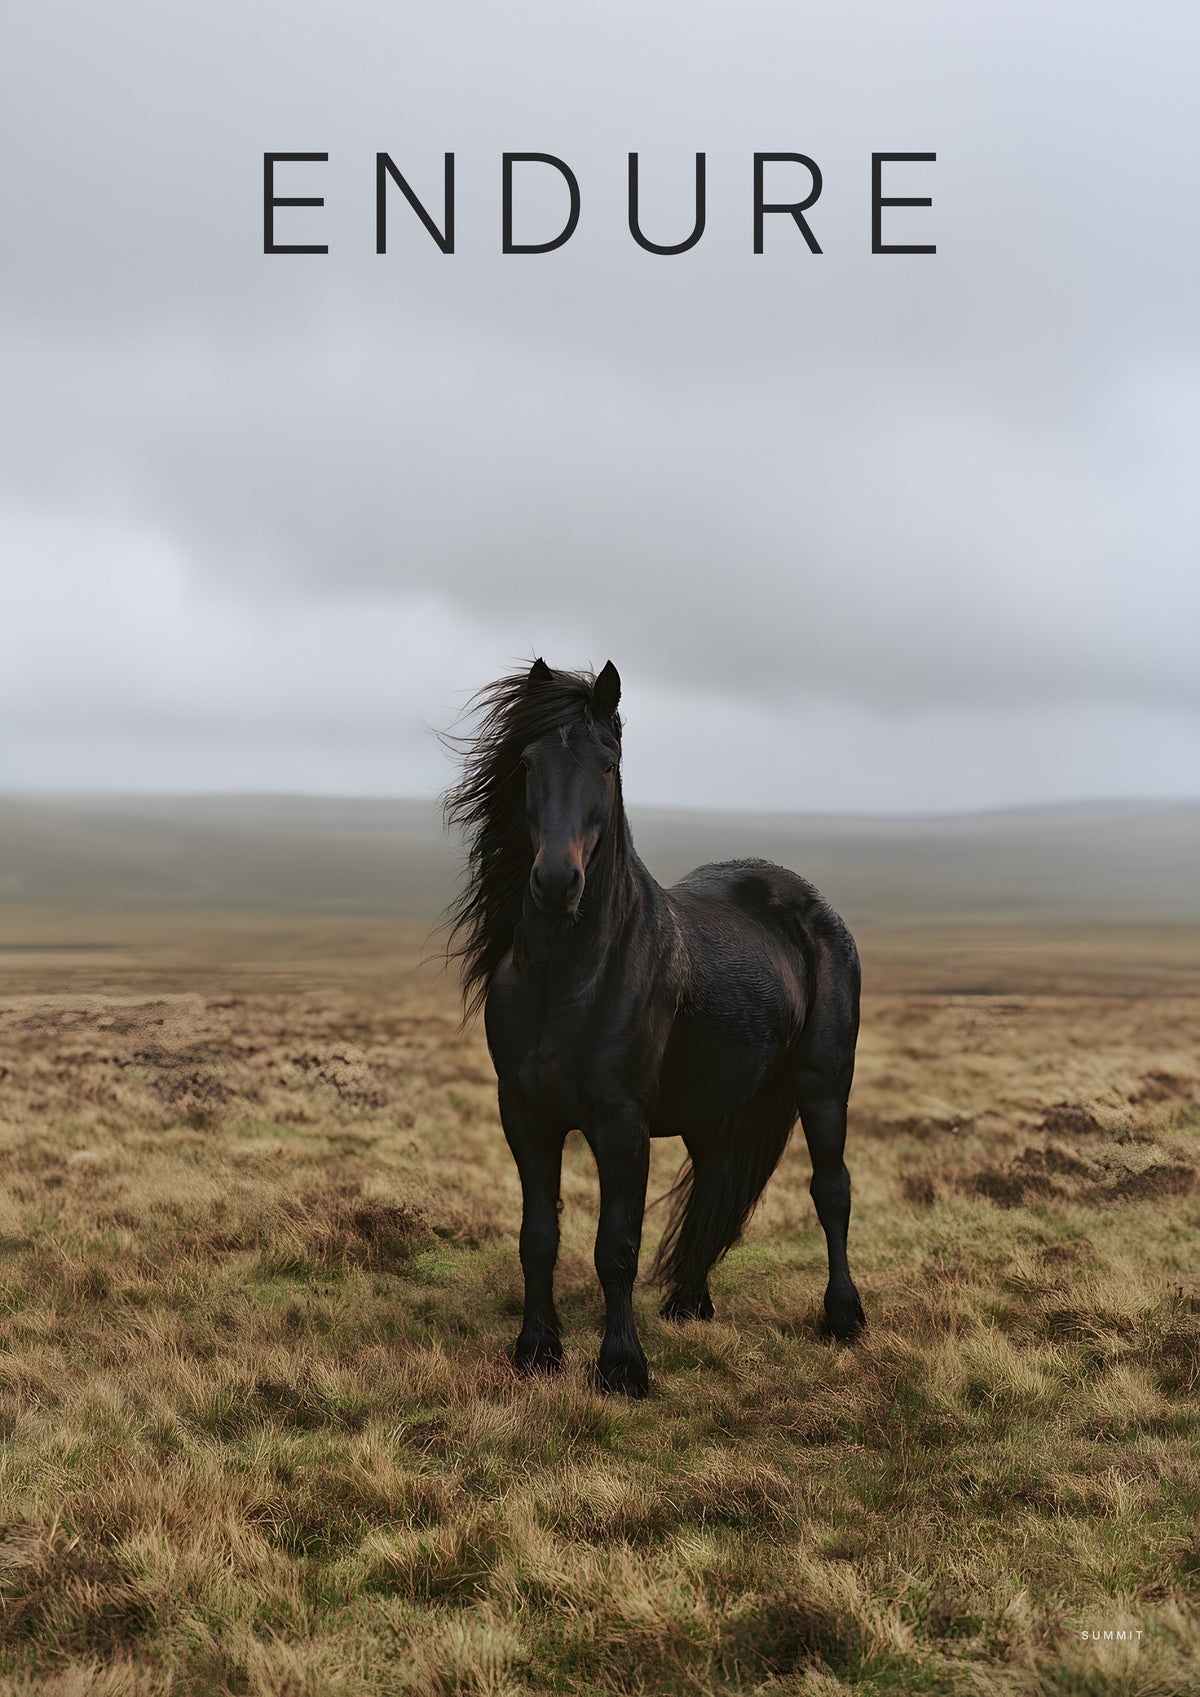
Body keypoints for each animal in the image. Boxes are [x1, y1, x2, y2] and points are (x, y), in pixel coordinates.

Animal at [443, 658, 864, 1398]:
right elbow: (538, 1236)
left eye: (608, 764)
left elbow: (616, 1245)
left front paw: (622, 1366)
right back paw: (690, 1302)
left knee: (831, 1190)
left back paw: (842, 1318)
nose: (556, 882)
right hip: (713, 1108)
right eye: (527, 762)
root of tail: (809, 903)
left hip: (822, 1084)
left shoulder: (621, 1122)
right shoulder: (524, 1115)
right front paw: (536, 1350)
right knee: (717, 1185)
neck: (568, 976)